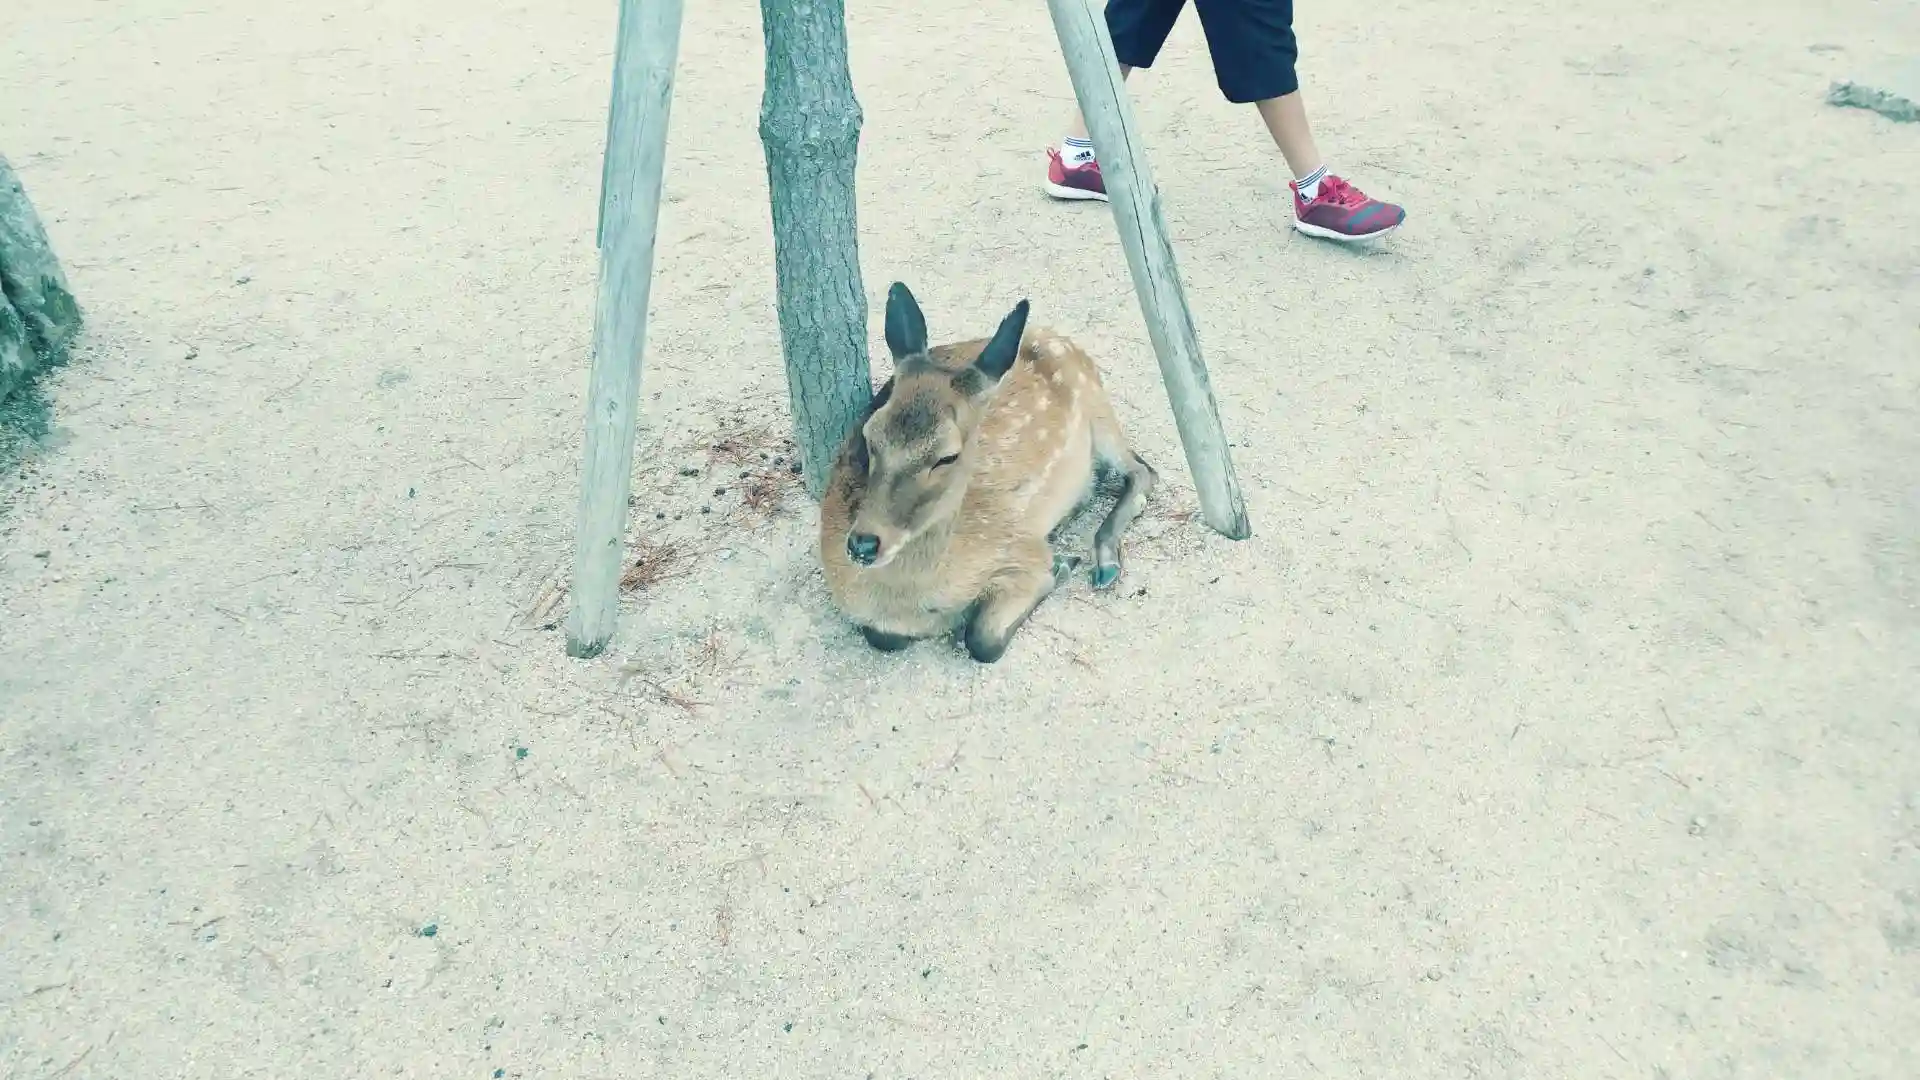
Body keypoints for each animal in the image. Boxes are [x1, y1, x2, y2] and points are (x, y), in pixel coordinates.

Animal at [818, 282, 1157, 663]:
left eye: (947, 456)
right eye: (870, 434)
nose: (863, 544)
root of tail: (1054, 335)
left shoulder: (1020, 551)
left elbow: (982, 638)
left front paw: (1062, 566)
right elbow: (883, 637)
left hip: (1098, 407)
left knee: (1142, 471)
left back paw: (1105, 562)